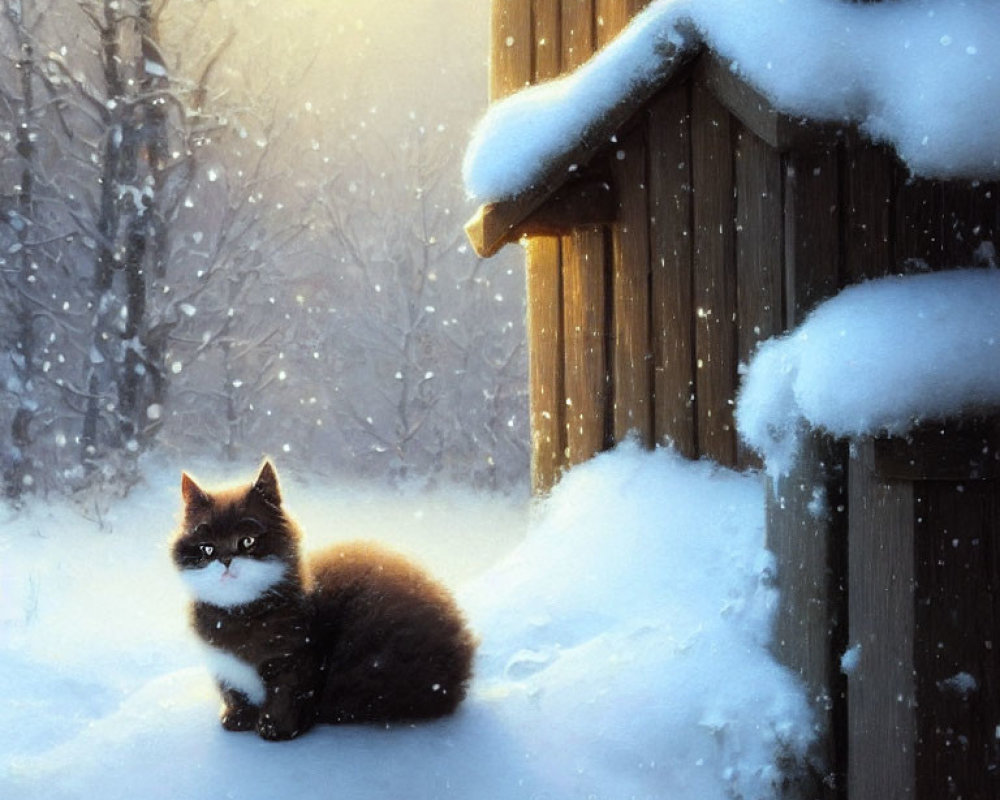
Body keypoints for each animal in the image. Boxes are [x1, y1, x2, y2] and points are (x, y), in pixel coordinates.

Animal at [172, 462, 476, 744]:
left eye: (247, 541)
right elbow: (233, 691)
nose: (225, 560)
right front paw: (236, 718)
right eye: (207, 548)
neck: (240, 614)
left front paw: (275, 728)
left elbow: (286, 693)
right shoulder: (223, 665)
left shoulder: (296, 657)